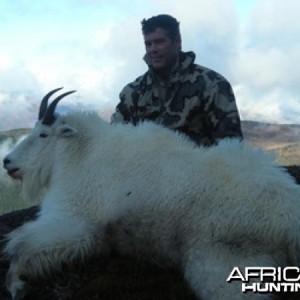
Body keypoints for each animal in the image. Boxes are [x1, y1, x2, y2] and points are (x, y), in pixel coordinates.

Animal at [1, 88, 300, 298]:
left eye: (43, 134)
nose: (8, 162)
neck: (80, 153)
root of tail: (289, 219)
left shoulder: (77, 225)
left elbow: (20, 246)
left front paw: (15, 284)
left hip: (223, 265)